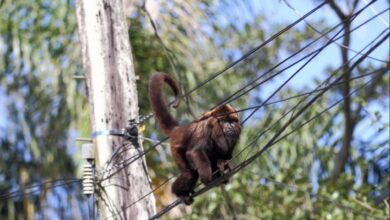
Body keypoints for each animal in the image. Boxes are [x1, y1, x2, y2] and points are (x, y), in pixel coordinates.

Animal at [149, 72, 241, 205]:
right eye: (225, 121)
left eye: (232, 121)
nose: (230, 126)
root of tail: (180, 130)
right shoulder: (207, 127)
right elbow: (195, 151)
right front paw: (207, 174)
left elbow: (227, 155)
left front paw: (223, 163)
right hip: (176, 148)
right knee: (190, 173)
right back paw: (180, 193)